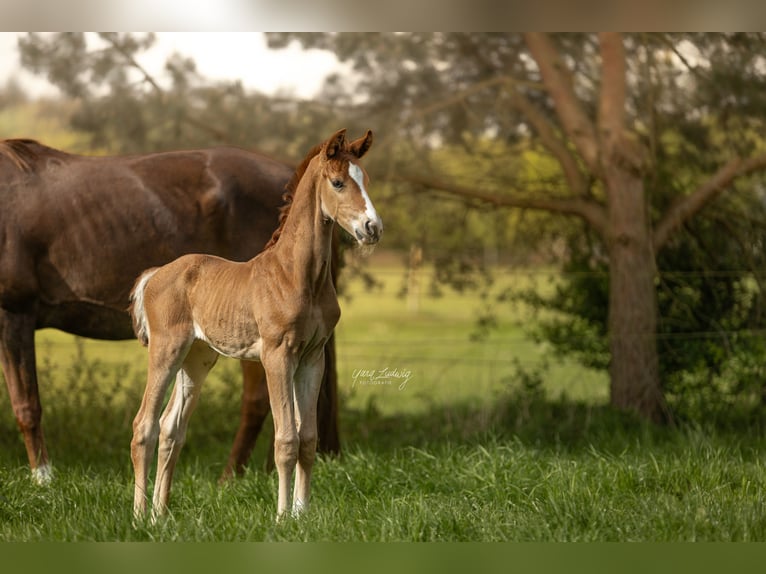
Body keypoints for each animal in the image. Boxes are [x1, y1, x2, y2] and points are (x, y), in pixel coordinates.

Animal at [129, 128, 381, 520]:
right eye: (338, 182)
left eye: (365, 180)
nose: (372, 228)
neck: (297, 276)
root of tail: (155, 274)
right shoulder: (277, 356)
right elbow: (286, 440)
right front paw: (281, 517)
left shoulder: (312, 357)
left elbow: (308, 439)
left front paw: (302, 515)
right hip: (166, 349)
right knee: (144, 424)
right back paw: (141, 516)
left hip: (197, 358)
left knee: (171, 428)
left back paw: (161, 515)